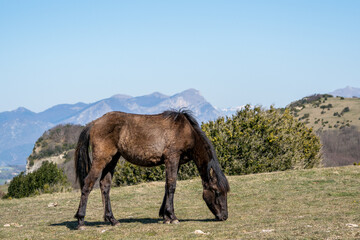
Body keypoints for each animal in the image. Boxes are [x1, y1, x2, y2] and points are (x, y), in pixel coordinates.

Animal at [74, 109, 229, 230]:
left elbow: (167, 186)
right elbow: (172, 186)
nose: (224, 216)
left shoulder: (175, 162)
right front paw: (172, 216)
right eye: (216, 191)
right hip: (101, 159)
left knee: (105, 186)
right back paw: (81, 221)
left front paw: (165, 217)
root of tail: (94, 123)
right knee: (88, 184)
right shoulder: (172, 158)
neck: (186, 131)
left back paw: (112, 219)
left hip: (112, 159)